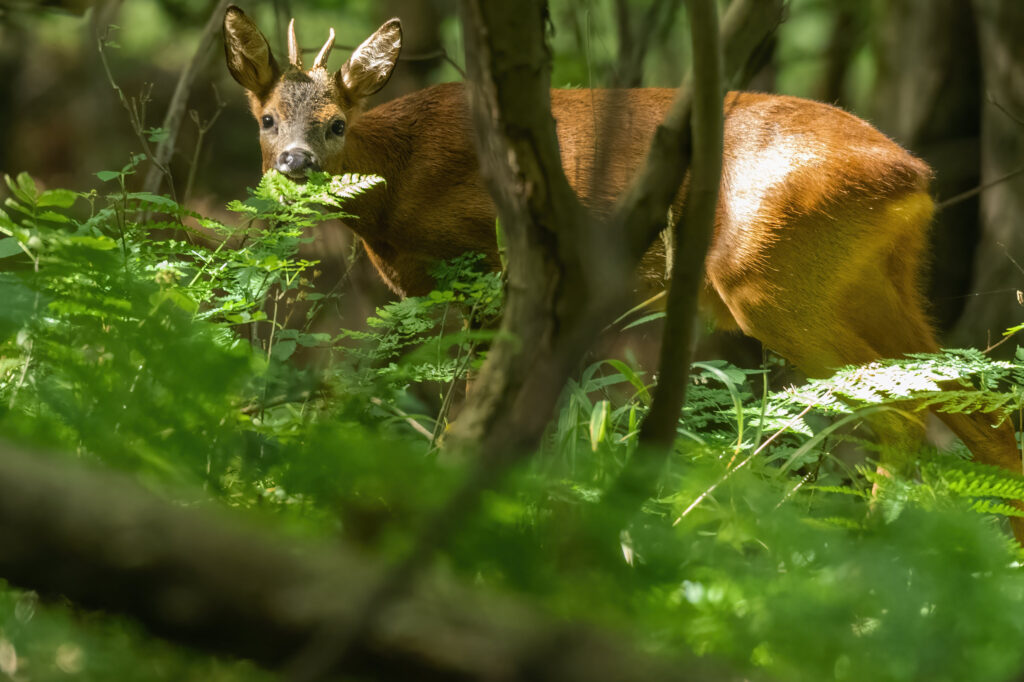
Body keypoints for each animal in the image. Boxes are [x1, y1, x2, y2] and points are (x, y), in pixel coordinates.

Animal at [222, 7, 1023, 538]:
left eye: (335, 122)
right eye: (266, 118)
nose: (295, 161)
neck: (399, 174)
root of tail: (913, 176)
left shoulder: (497, 269)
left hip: (771, 279)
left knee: (905, 414)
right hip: (878, 281)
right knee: (974, 400)